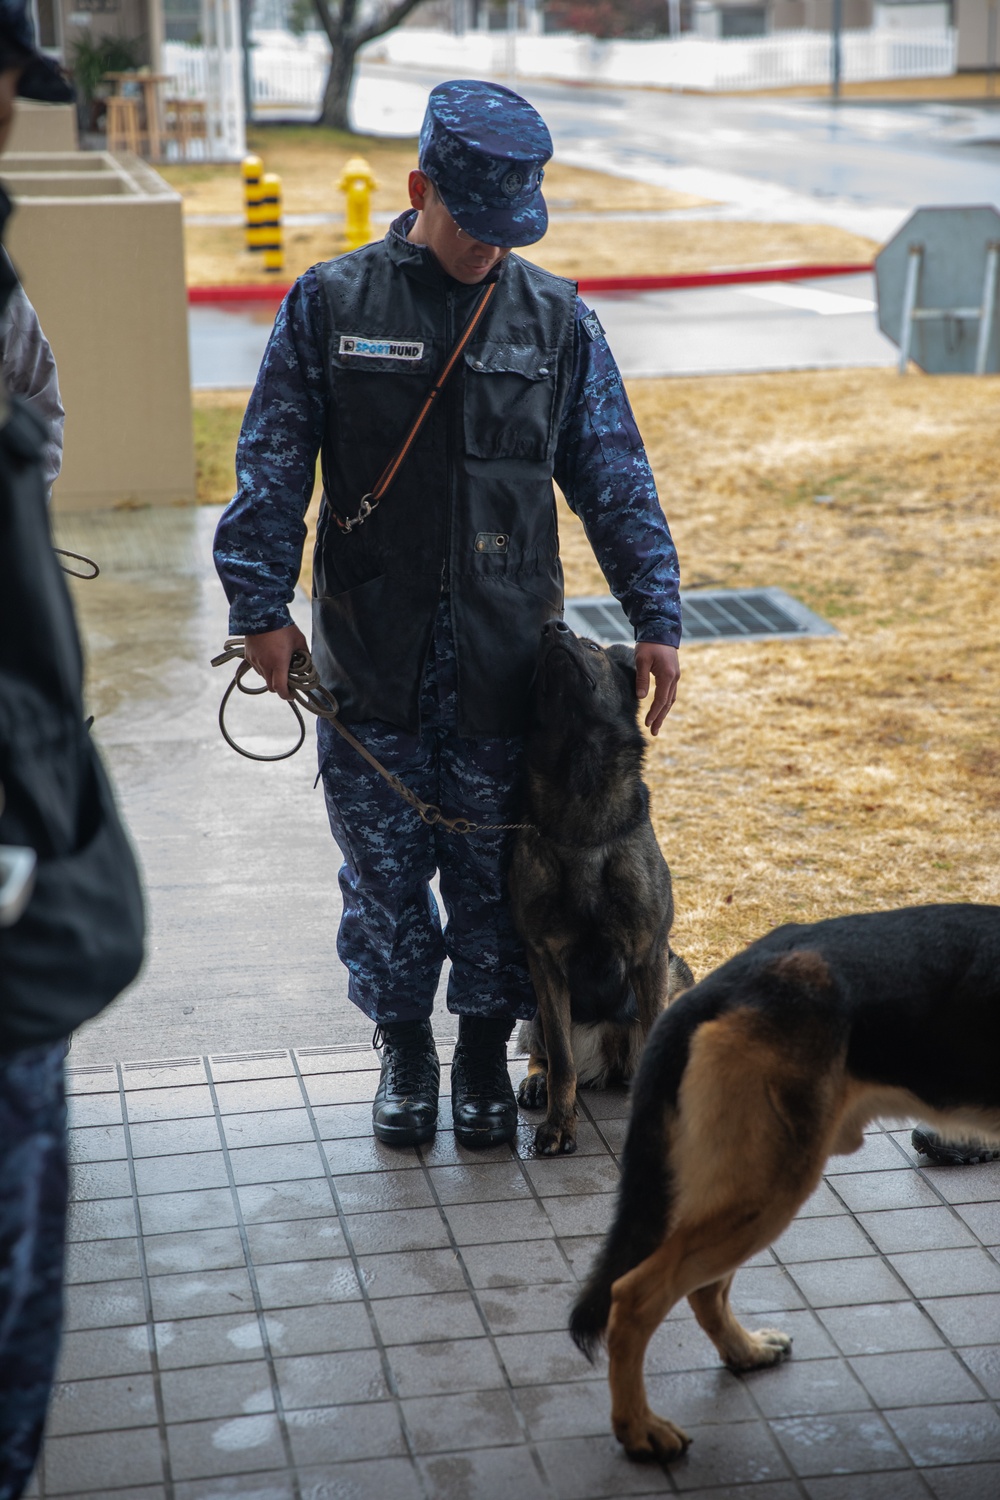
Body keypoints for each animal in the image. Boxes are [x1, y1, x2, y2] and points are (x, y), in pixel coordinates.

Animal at [512, 621, 692, 1158]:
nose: (552, 627)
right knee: (546, 1054)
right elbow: (563, 1063)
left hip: (677, 976)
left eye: (591, 647)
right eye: (537, 661)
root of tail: (610, 1058)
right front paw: (559, 1126)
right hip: (532, 1001)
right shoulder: (543, 961)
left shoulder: (650, 956)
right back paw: (535, 1080)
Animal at [569, 900, 1000, 1464]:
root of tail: (708, 992)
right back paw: (639, 1428)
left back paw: (744, 1351)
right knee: (635, 1295)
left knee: (703, 1289)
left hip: (748, 1188)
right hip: (769, 1189)